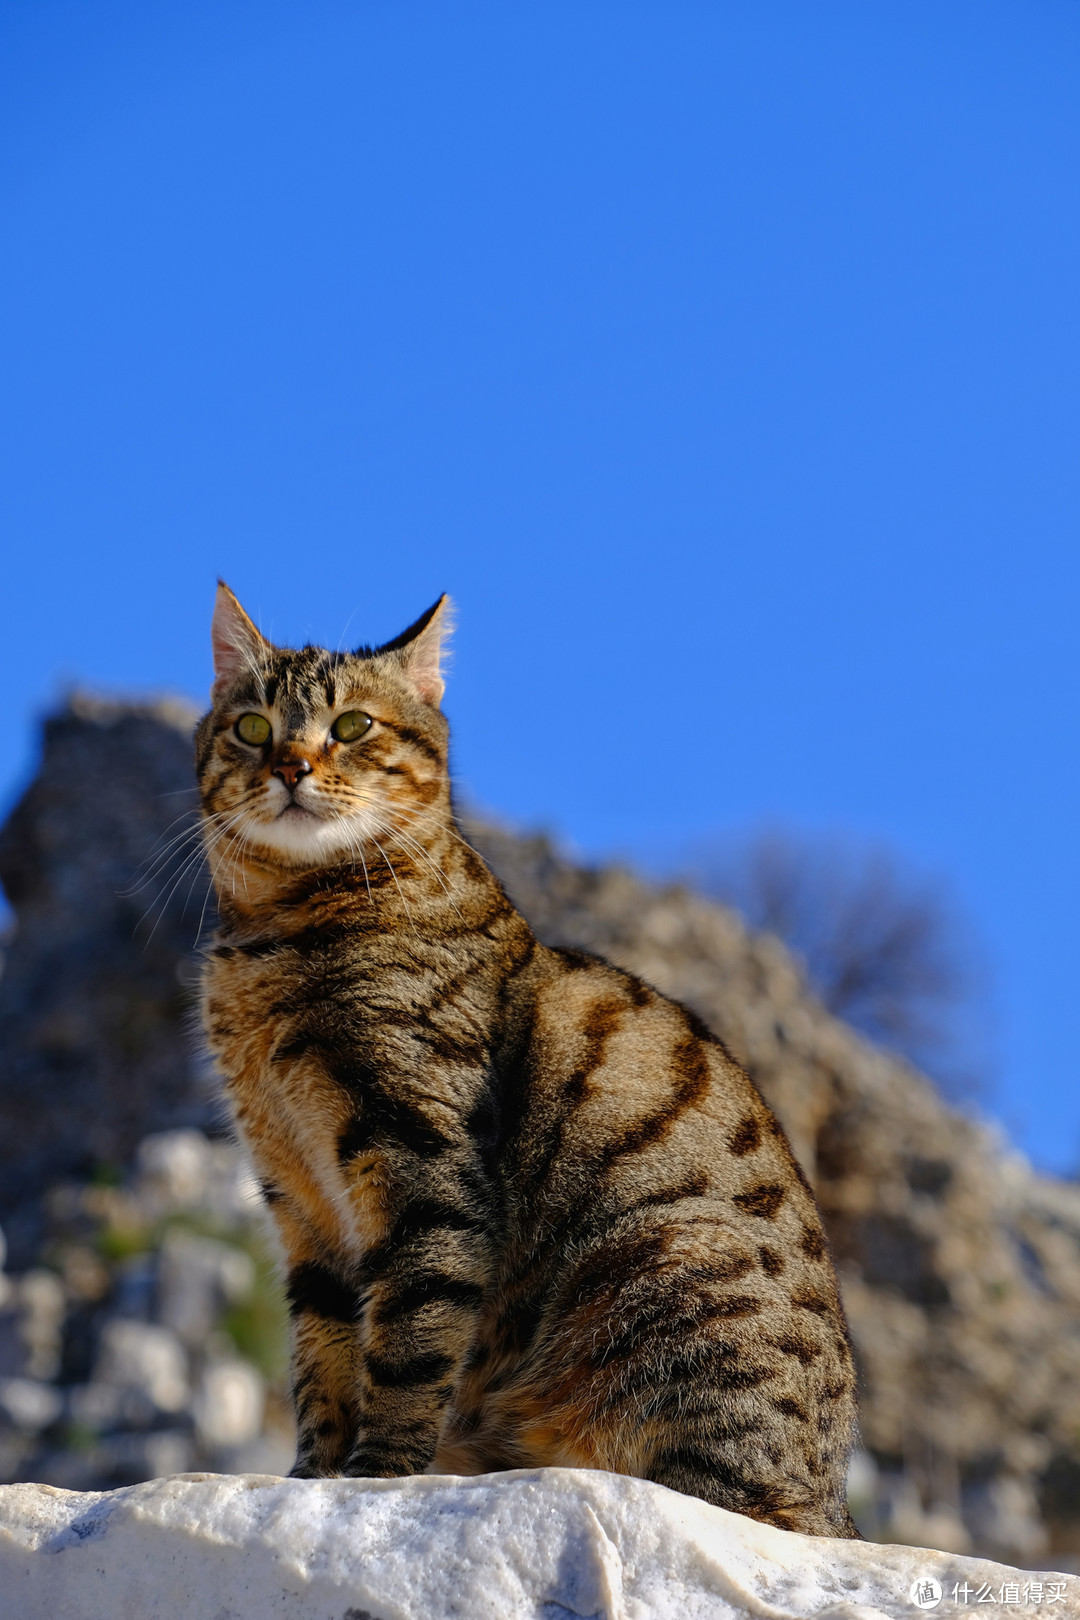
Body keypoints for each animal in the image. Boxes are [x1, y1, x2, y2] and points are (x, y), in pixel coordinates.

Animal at [196, 583, 861, 1529]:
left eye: (353, 726)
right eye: (253, 728)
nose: (289, 766)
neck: (273, 939)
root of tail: (831, 1497)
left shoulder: (421, 1160)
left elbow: (410, 1341)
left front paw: (373, 1477)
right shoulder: (297, 1190)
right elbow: (322, 1356)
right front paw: (311, 1476)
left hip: (668, 1265)